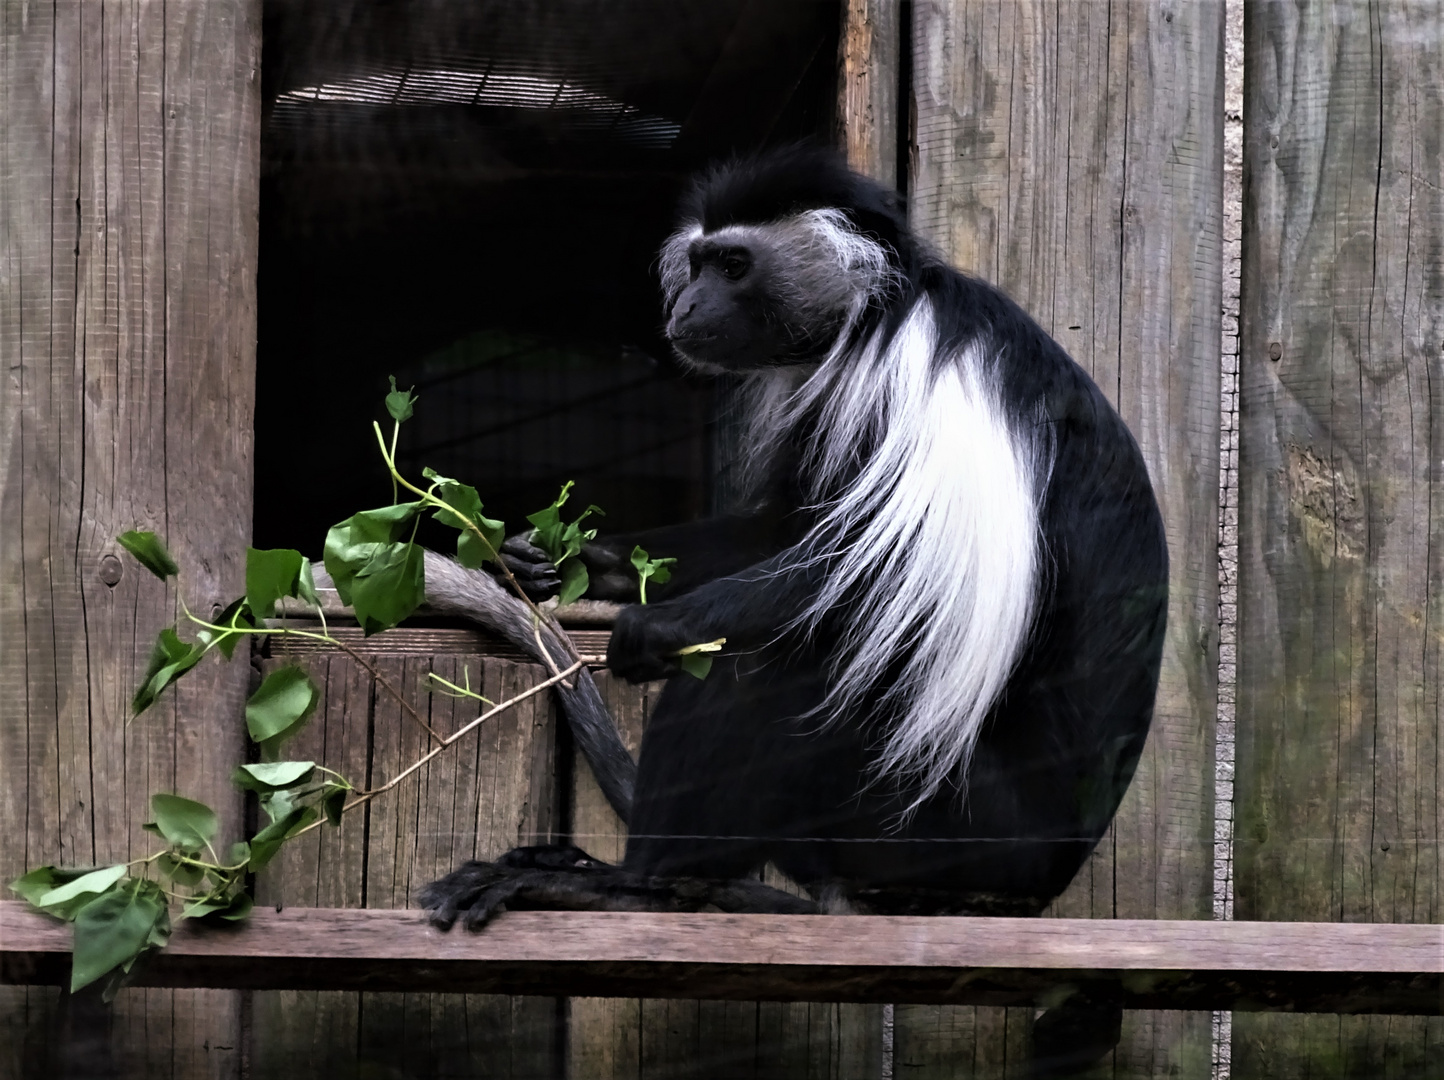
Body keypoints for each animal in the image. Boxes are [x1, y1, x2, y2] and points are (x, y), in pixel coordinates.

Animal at [421, 143, 1172, 1074]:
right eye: (700, 263)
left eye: (734, 266)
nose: (684, 305)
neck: (868, 314)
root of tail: (1050, 875)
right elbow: (783, 529)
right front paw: (572, 561)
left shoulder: (918, 375)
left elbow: (870, 573)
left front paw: (663, 624)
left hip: (943, 827)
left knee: (771, 670)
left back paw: (626, 892)